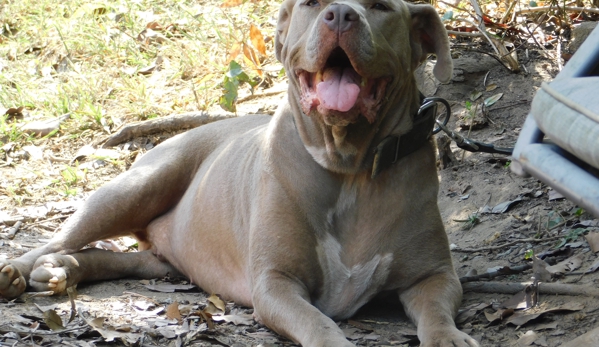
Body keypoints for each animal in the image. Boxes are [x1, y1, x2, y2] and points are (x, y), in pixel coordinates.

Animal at [0, 1, 478, 346]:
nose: (341, 14)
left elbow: (437, 311)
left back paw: (63, 270)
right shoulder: (276, 283)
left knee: (121, 259)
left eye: (380, 6)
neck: (349, 167)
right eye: (311, 2)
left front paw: (449, 338)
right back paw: (21, 272)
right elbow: (318, 323)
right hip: (135, 188)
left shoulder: (434, 275)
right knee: (59, 239)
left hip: (163, 259)